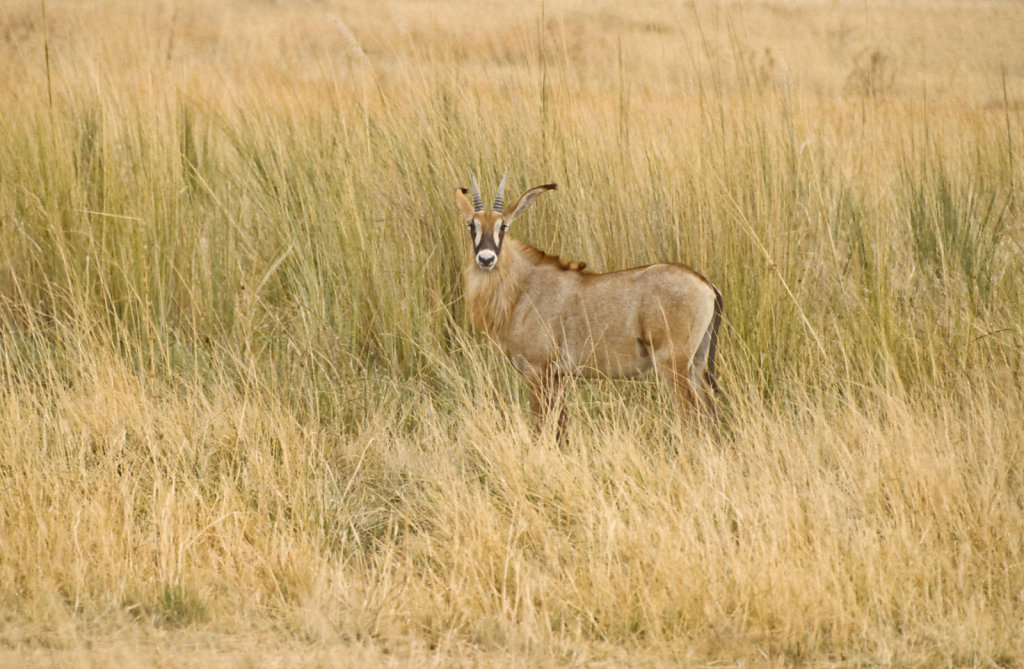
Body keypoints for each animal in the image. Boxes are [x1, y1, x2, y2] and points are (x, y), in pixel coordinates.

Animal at [456, 173, 720, 442]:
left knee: (692, 419)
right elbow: (560, 429)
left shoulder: (537, 371)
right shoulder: (557, 375)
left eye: (503, 226)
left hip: (674, 366)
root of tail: (706, 285)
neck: (522, 286)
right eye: (471, 226)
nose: (486, 259)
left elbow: (541, 427)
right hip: (696, 366)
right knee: (709, 416)